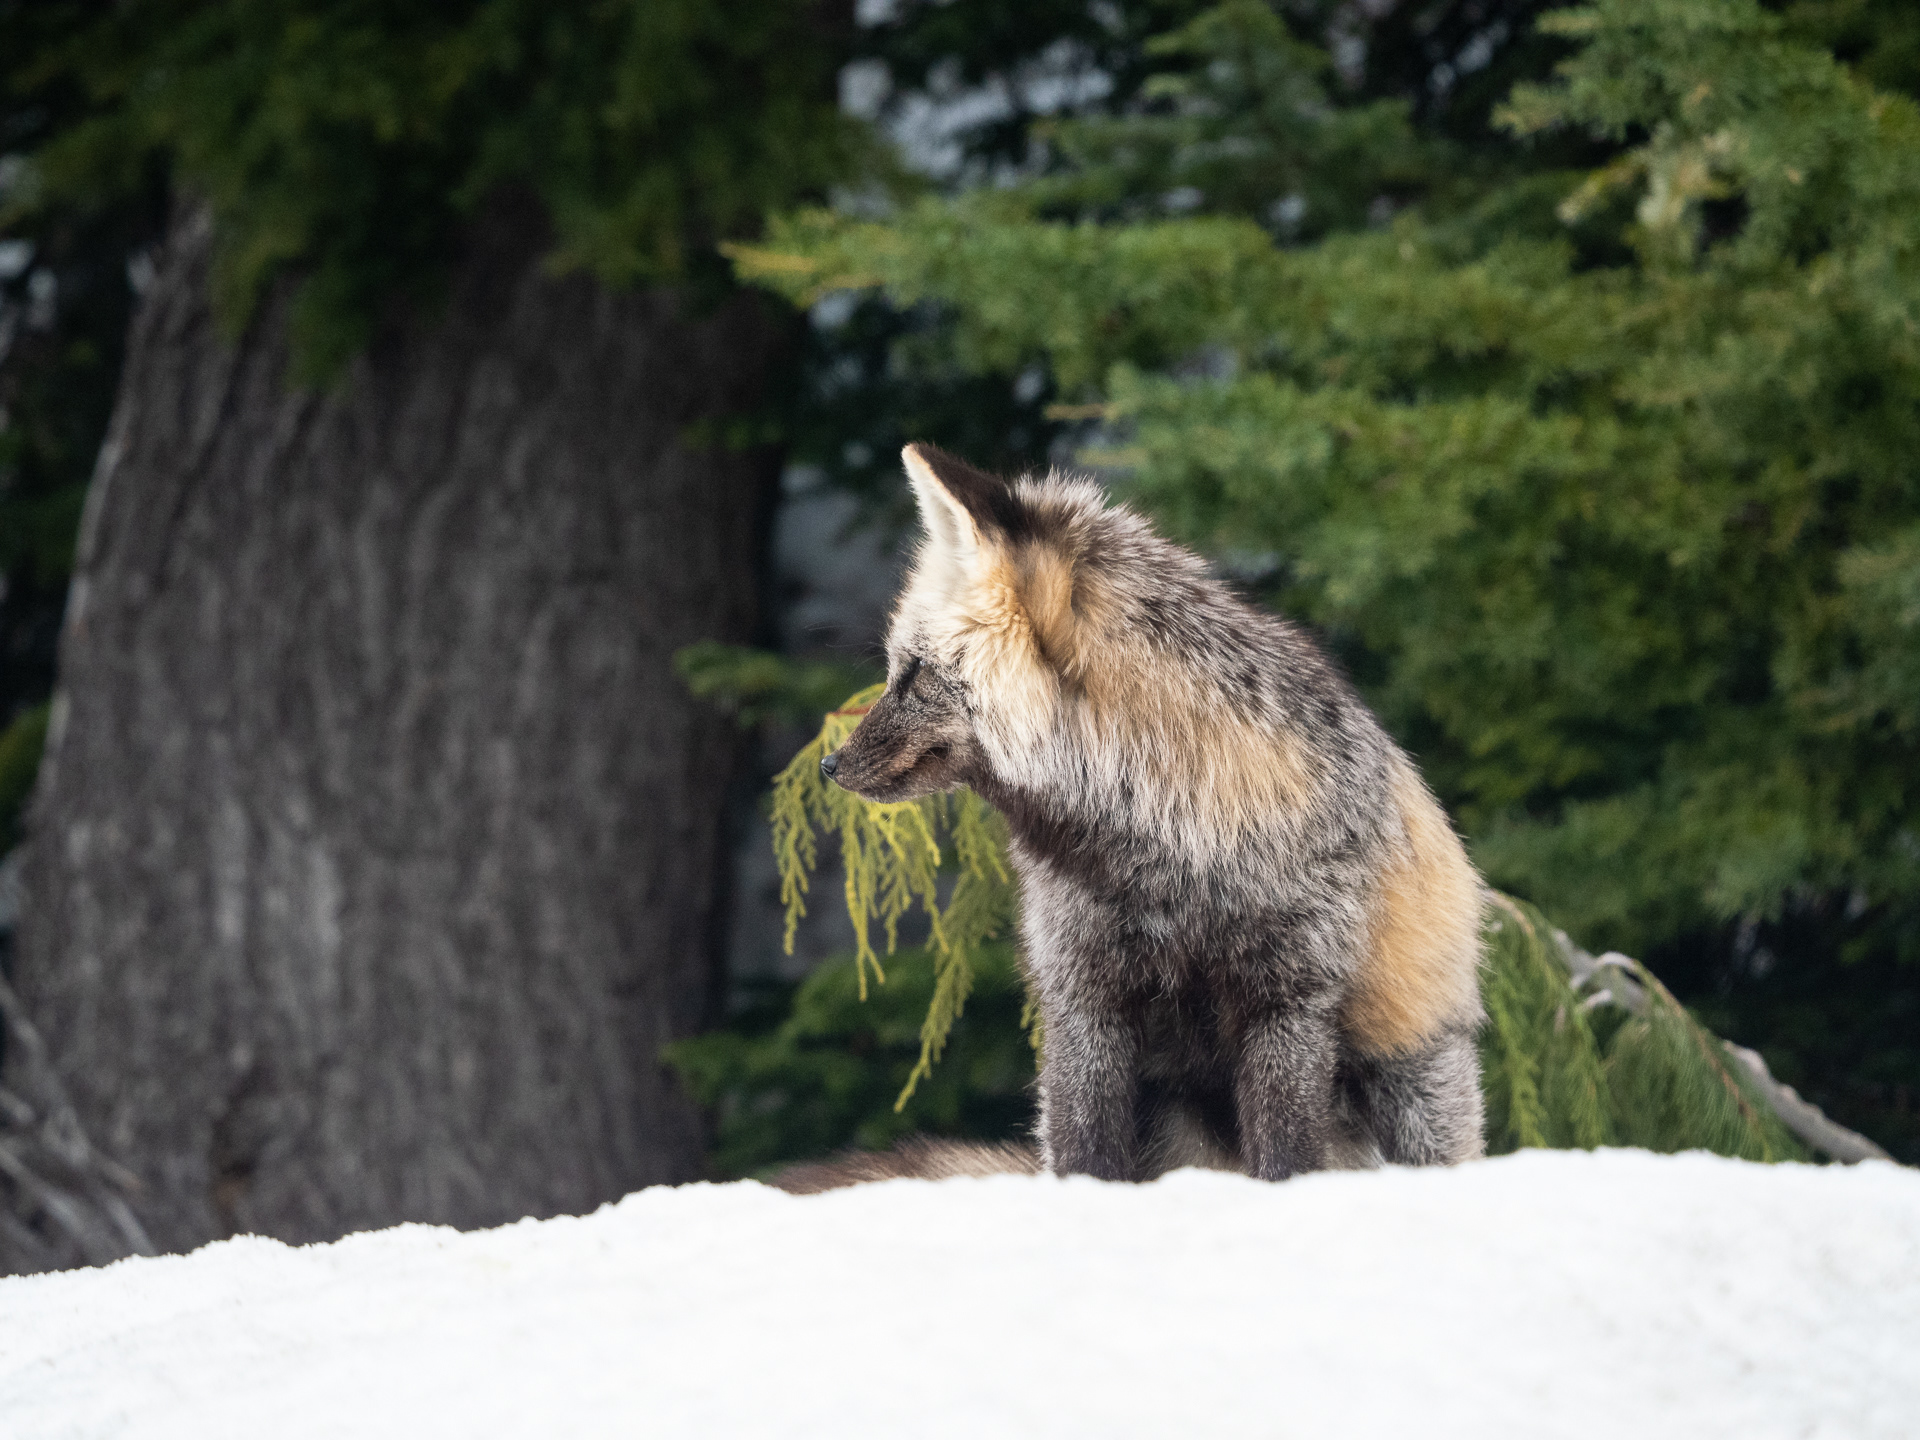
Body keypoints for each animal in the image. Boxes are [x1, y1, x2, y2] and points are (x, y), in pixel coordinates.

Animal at [812, 443, 1486, 1185]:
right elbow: (1083, 1154)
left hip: (1414, 1085)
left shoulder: (1290, 1001)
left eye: (912, 673)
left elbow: (1287, 1159)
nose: (829, 765)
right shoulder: (1083, 998)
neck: (1169, 864)